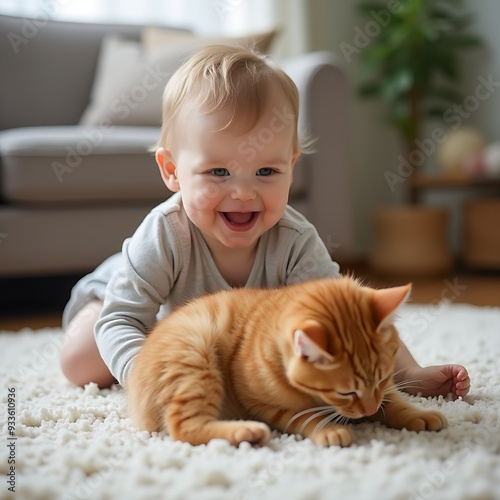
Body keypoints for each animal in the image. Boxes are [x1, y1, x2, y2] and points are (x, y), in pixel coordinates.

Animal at [127, 276, 448, 448]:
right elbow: (308, 418)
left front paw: (417, 414)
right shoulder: (265, 405)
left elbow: (394, 401)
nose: (367, 410)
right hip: (196, 356)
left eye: (381, 378)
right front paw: (330, 429)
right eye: (346, 392)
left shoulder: (383, 389)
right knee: (184, 428)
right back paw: (245, 432)